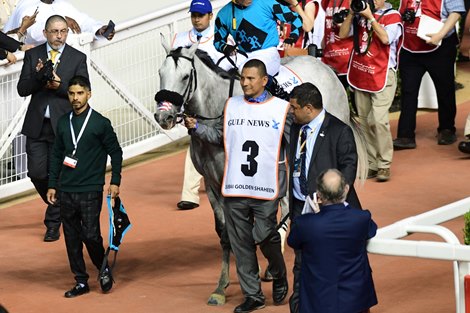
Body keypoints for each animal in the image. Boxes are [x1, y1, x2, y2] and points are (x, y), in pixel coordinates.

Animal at [154, 39, 368, 304]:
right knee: (287, 203)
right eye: (160, 73)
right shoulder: (213, 184)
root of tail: (321, 63)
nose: (163, 116)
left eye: (185, 77)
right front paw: (221, 286)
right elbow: (226, 233)